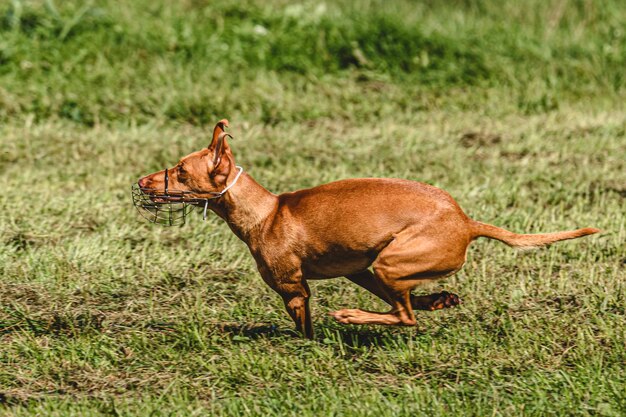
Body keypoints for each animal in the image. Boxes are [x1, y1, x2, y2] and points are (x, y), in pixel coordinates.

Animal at [135, 118, 596, 338]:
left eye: (180, 171)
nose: (141, 182)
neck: (267, 212)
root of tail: (465, 221)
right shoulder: (354, 269)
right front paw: (439, 300)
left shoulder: (294, 291)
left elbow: (305, 331)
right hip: (378, 267)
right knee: (405, 307)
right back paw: (437, 300)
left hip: (391, 263)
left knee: (405, 317)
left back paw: (354, 316)